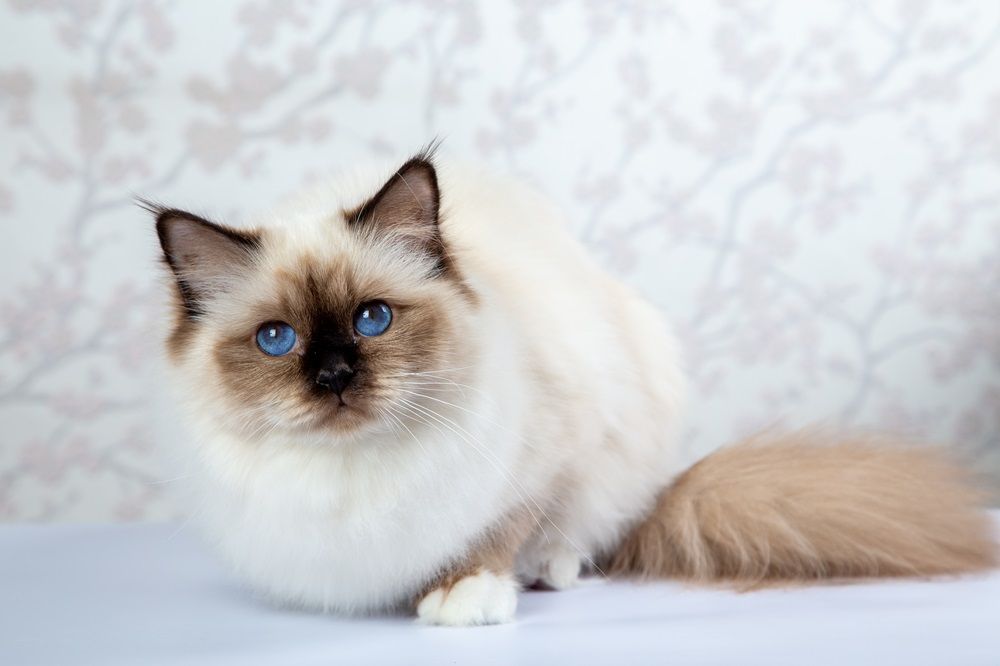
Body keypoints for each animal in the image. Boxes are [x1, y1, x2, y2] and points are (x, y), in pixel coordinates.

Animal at [150, 149, 1000, 624]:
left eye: (373, 319)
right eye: (277, 339)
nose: (333, 376)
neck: (354, 472)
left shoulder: (552, 457)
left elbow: (501, 533)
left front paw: (465, 596)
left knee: (585, 534)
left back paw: (548, 572)